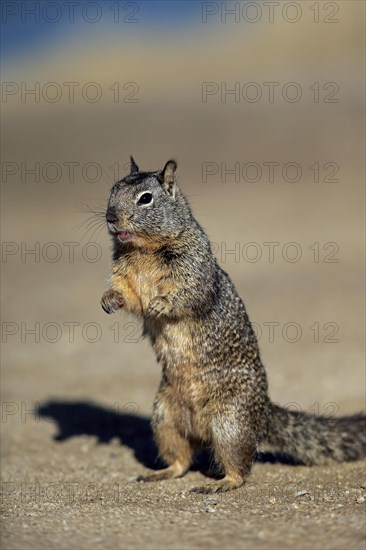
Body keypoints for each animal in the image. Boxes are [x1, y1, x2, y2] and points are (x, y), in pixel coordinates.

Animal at [100, 156, 366, 496]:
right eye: (113, 189)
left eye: (145, 198)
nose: (110, 217)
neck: (142, 249)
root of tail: (263, 412)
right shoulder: (125, 276)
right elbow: (128, 296)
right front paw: (109, 299)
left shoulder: (194, 269)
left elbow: (188, 294)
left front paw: (161, 304)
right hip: (164, 418)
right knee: (181, 460)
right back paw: (161, 473)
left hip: (230, 423)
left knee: (239, 466)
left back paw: (221, 483)